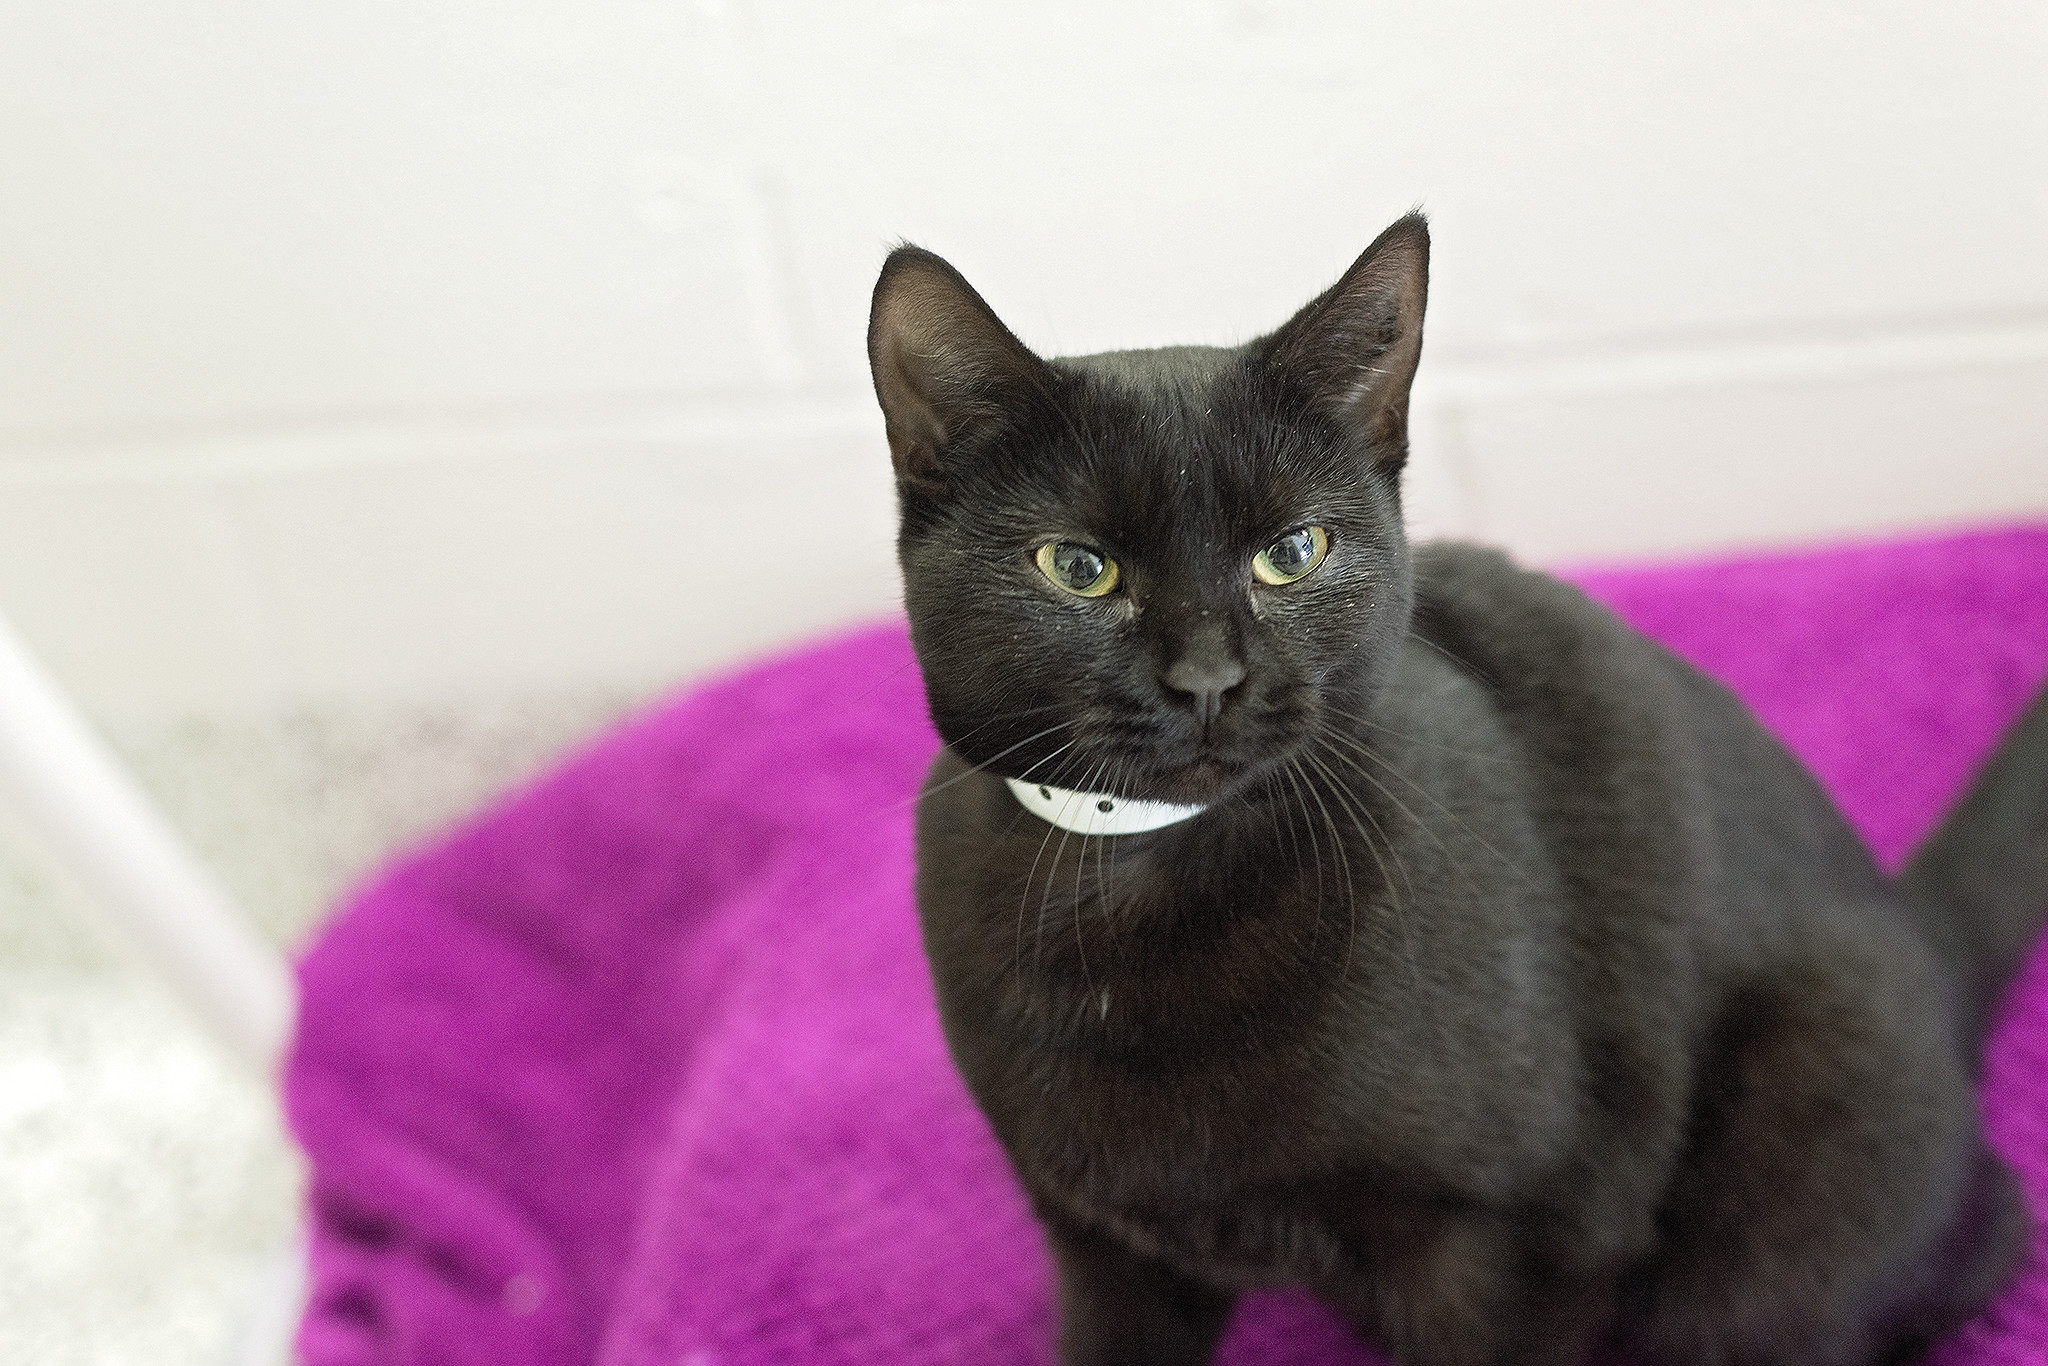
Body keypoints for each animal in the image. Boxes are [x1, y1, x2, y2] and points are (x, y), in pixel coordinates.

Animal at [866, 212, 2048, 1366]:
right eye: (1079, 567)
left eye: (1292, 551)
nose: (1207, 678)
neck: (1138, 873)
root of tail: (1915, 932)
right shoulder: (1102, 1243)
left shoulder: (1529, 1234)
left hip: (1774, 1207)